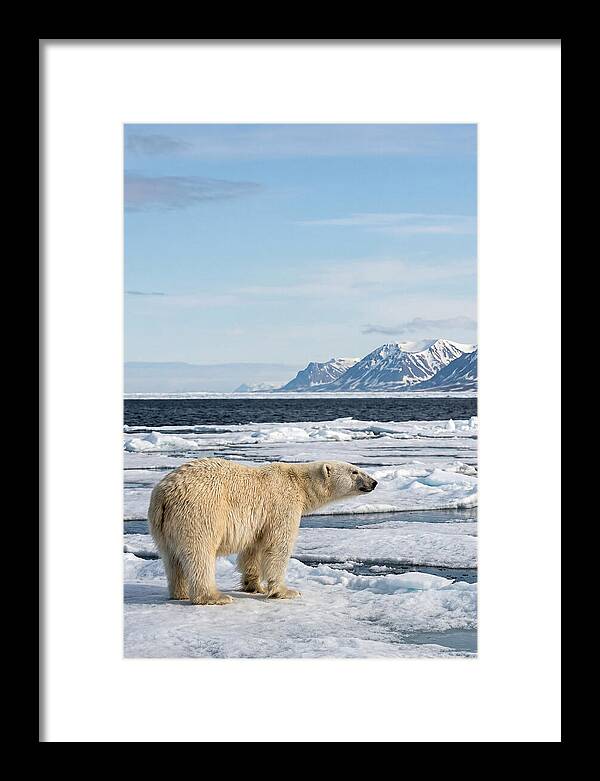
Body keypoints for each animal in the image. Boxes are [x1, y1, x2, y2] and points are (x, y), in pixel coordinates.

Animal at [147, 457, 377, 605]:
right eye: (355, 471)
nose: (374, 482)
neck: (299, 483)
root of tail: (164, 494)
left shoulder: (259, 522)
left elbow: (253, 549)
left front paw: (254, 586)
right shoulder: (282, 505)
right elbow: (277, 546)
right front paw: (286, 591)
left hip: (161, 525)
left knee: (171, 558)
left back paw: (180, 593)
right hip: (200, 512)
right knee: (200, 554)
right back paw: (214, 597)